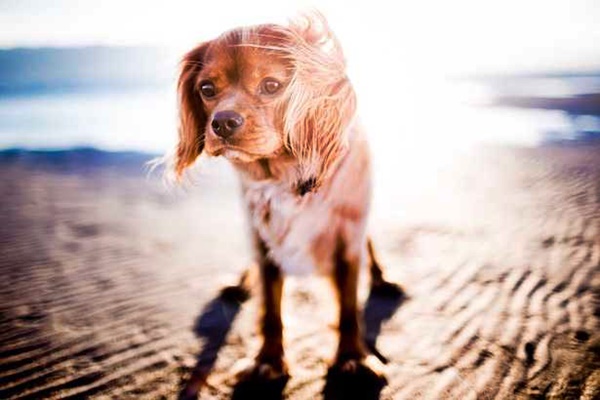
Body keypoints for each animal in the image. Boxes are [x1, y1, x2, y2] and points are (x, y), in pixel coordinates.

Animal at [173, 12, 404, 384]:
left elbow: (348, 306)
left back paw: (383, 279)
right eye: (207, 89)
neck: (285, 175)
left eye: (272, 85)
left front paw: (353, 358)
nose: (221, 123)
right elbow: (270, 308)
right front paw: (267, 360)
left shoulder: (347, 236)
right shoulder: (262, 236)